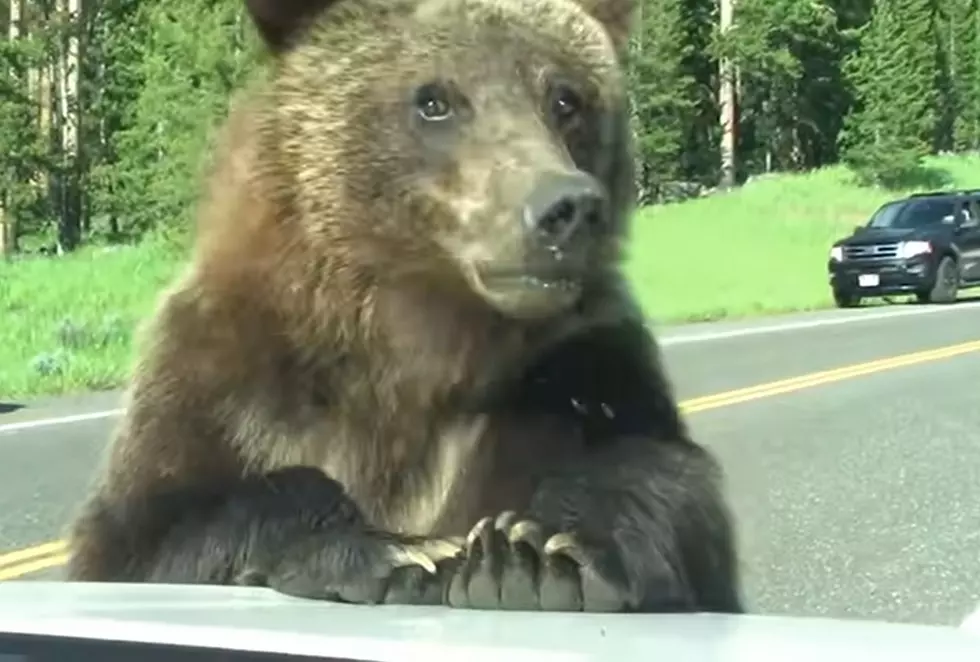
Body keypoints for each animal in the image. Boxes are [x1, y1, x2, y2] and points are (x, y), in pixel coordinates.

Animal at [63, 0, 744, 616]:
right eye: (433, 99)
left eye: (565, 97)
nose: (566, 208)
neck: (414, 335)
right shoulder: (226, 378)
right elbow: (144, 536)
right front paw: (391, 552)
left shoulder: (575, 360)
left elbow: (654, 475)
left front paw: (533, 556)